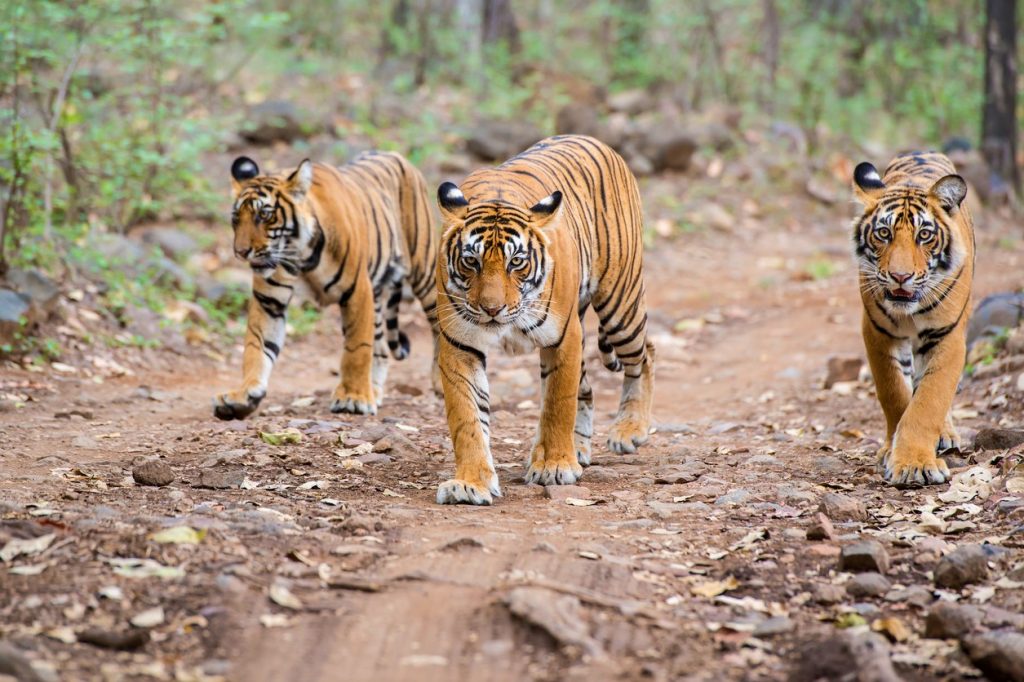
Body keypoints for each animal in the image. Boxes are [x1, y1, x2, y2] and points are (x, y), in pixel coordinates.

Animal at [214, 152, 438, 419]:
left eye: (264, 215)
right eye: (236, 218)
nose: (241, 252)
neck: (300, 255)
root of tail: (396, 155)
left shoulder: (357, 291)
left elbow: (357, 348)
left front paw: (353, 398)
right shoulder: (269, 301)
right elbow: (256, 346)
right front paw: (243, 395)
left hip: (425, 272)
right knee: (382, 346)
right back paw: (374, 391)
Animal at [432, 134, 655, 503]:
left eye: (516, 262)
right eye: (471, 261)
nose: (491, 309)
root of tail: (594, 140)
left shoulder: (563, 336)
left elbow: (557, 403)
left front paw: (554, 466)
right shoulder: (459, 344)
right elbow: (467, 418)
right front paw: (471, 483)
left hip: (620, 305)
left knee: (644, 354)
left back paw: (629, 430)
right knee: (587, 388)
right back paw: (579, 448)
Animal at [847, 151, 974, 485]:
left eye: (924, 235)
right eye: (884, 233)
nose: (900, 276)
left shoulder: (947, 337)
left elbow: (929, 401)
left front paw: (916, 464)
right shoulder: (877, 333)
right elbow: (894, 394)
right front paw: (895, 454)